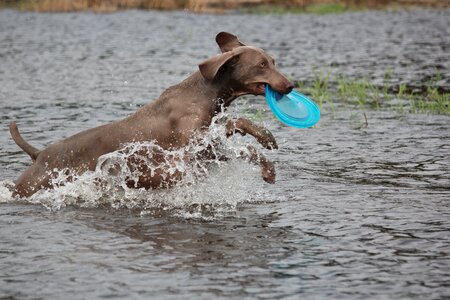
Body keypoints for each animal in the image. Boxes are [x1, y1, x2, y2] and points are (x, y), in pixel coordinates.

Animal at [9, 31, 296, 198]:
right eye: (261, 64)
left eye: (273, 61)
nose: (291, 85)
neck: (205, 93)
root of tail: (39, 154)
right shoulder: (190, 152)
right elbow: (242, 143)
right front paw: (267, 161)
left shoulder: (208, 139)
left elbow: (237, 127)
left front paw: (266, 140)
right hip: (32, 184)